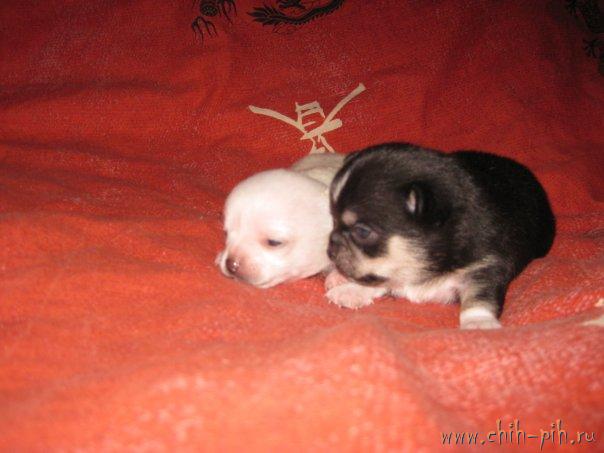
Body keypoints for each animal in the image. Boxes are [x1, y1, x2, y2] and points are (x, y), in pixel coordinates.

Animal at [326, 143, 556, 329]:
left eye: (362, 232)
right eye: (333, 220)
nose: (330, 248)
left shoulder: (487, 267)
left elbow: (479, 298)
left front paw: (479, 323)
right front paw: (352, 290)